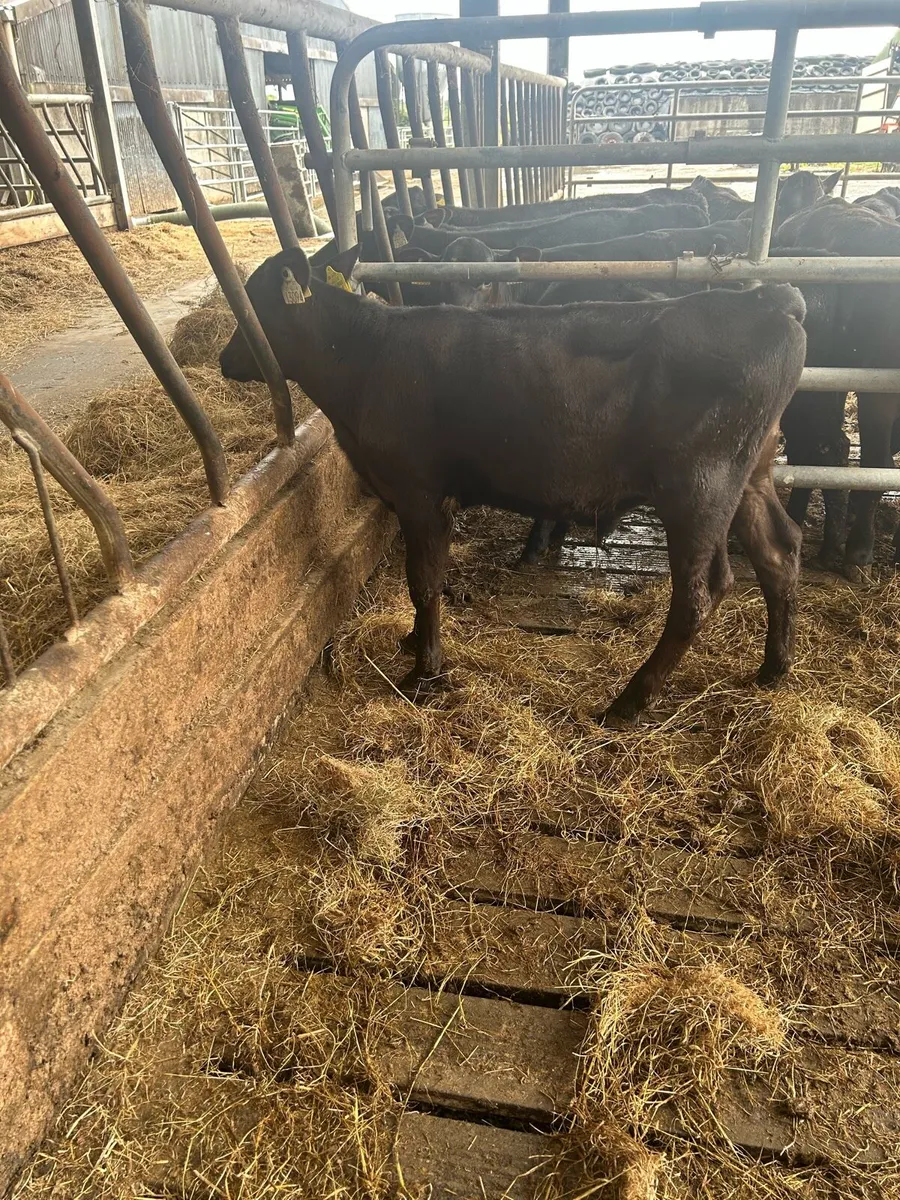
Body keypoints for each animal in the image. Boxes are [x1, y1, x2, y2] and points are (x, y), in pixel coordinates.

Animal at [221, 245, 807, 721]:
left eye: (252, 307)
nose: (225, 359)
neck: (364, 359)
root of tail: (767, 300)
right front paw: (413, 643)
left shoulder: (420, 493)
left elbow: (423, 580)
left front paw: (424, 671)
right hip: (748, 477)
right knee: (779, 552)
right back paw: (773, 670)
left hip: (698, 487)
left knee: (699, 594)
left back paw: (628, 702)